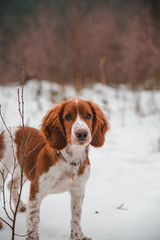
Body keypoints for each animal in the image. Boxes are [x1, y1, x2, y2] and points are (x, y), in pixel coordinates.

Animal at [0, 98, 109, 240]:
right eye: (68, 116)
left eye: (88, 115)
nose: (82, 134)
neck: (70, 160)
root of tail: (8, 128)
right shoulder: (37, 189)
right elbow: (34, 218)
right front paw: (33, 237)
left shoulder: (78, 190)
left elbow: (76, 216)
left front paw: (78, 236)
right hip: (3, 167)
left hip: (23, 169)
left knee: (11, 183)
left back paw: (21, 206)